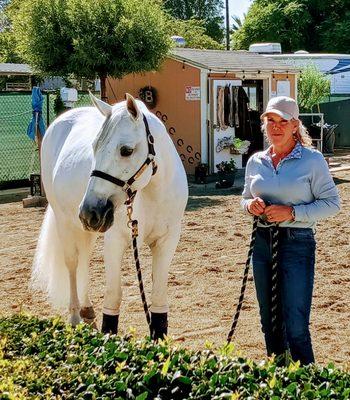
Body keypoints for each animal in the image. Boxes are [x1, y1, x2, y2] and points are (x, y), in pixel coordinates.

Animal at [32, 93, 189, 338]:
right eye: (94, 147)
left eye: (126, 150)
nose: (89, 211)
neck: (153, 195)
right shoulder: (115, 241)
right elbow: (114, 296)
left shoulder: (167, 242)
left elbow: (158, 297)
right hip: (65, 222)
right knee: (73, 264)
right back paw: (75, 317)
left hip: (87, 229)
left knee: (84, 261)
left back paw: (87, 310)